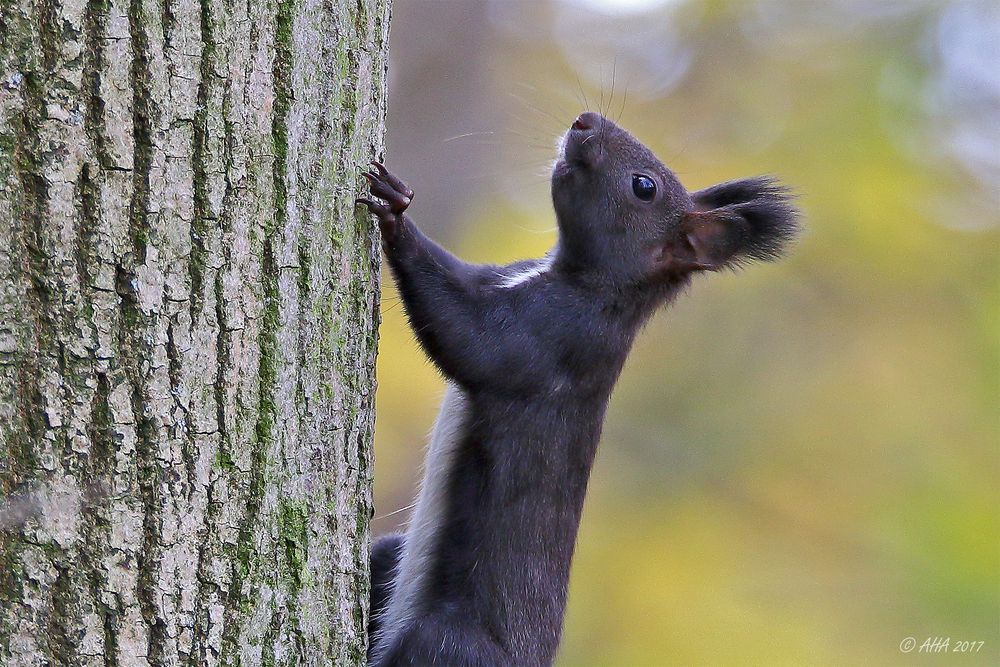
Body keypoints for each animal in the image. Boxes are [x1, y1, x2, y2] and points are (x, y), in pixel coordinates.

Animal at [356, 111, 800, 667]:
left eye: (644, 187)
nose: (587, 121)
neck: (593, 286)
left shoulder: (553, 338)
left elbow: (466, 334)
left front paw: (397, 212)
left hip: (450, 646)